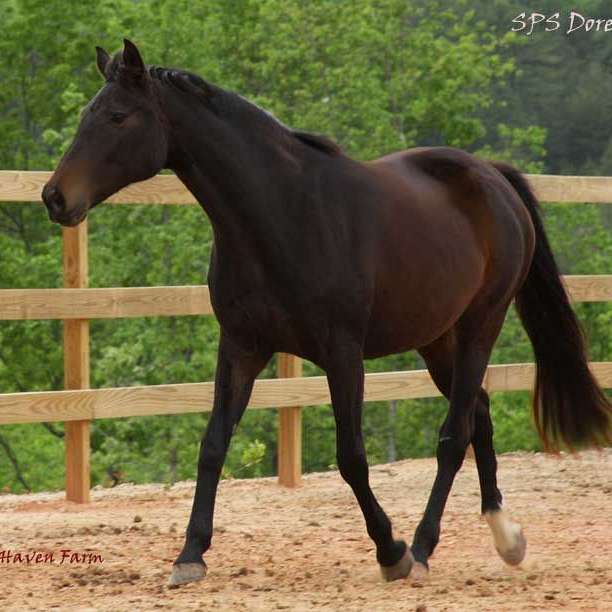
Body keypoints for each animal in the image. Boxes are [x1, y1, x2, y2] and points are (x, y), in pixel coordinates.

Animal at [40, 40, 608, 584]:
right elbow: (213, 445)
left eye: (117, 116)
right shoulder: (242, 347)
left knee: (455, 435)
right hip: (437, 340)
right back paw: (506, 537)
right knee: (480, 416)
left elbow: (351, 457)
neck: (284, 213)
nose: (54, 197)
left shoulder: (342, 354)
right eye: (88, 114)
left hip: (479, 327)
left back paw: (423, 548)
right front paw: (190, 556)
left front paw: (391, 552)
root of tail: (494, 178)